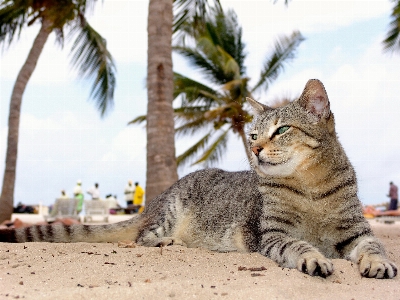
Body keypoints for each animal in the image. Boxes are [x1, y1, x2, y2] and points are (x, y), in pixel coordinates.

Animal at [0, 79, 396, 278]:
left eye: (281, 130)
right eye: (253, 135)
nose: (254, 149)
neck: (310, 187)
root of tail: (157, 198)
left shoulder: (355, 231)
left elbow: (374, 245)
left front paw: (378, 263)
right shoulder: (271, 235)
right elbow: (298, 245)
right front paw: (313, 258)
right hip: (170, 213)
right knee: (142, 238)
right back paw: (166, 242)